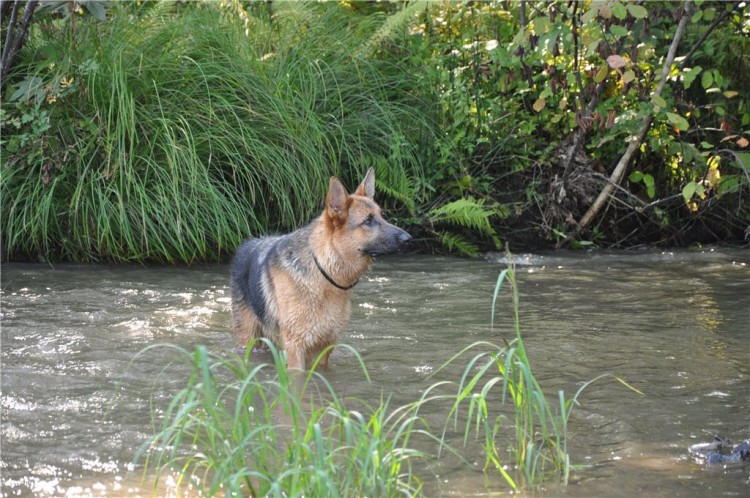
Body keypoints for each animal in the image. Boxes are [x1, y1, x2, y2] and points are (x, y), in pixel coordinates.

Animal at [232, 168, 414, 370]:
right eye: (368, 221)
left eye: (382, 216)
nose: (408, 239)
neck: (324, 270)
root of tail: (248, 244)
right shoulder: (295, 348)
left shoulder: (325, 347)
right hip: (249, 337)